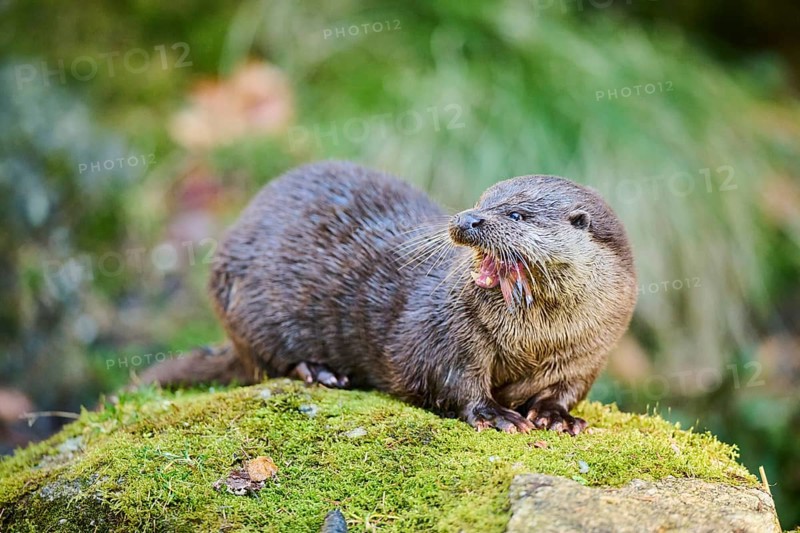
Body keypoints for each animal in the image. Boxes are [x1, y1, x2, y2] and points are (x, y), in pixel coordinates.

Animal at [141, 161, 637, 435]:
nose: (466, 219)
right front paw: (495, 414)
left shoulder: (588, 352)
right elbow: (449, 378)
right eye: (482, 200)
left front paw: (556, 417)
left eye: (515, 214)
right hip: (246, 307)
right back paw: (321, 371)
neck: (535, 340)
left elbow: (566, 391)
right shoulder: (446, 332)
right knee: (268, 362)